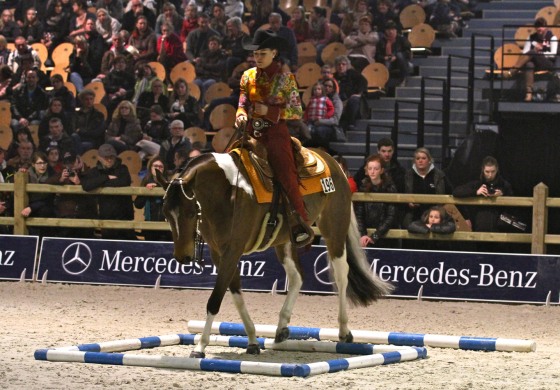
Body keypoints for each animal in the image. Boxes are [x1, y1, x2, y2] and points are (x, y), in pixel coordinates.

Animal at [156, 147, 394, 360]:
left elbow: (215, 300)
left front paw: (200, 347)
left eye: (189, 212)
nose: (183, 257)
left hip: (334, 229)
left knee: (341, 274)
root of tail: (332, 161)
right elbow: (236, 295)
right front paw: (252, 341)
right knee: (298, 277)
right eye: (166, 213)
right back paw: (281, 327)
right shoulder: (219, 253)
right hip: (286, 241)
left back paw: (344, 331)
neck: (226, 191)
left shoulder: (232, 250)